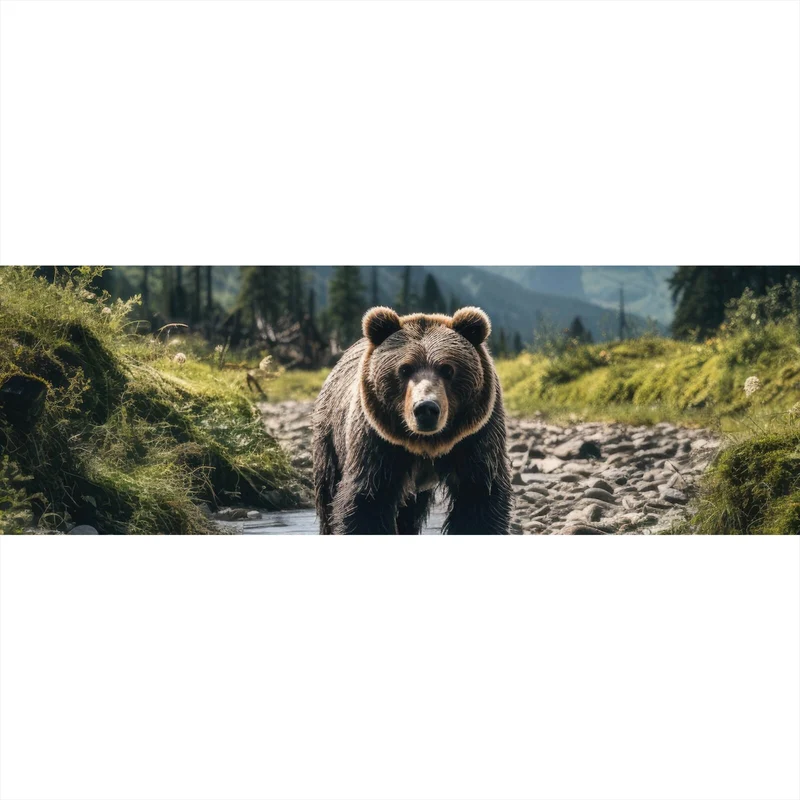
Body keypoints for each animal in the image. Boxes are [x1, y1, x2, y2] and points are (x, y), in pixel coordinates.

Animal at [312, 306, 512, 534]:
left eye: (448, 369)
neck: (426, 444)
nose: (426, 408)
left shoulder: (476, 437)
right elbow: (368, 501)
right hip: (329, 436)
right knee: (328, 490)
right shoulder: (376, 441)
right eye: (404, 369)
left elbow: (478, 497)